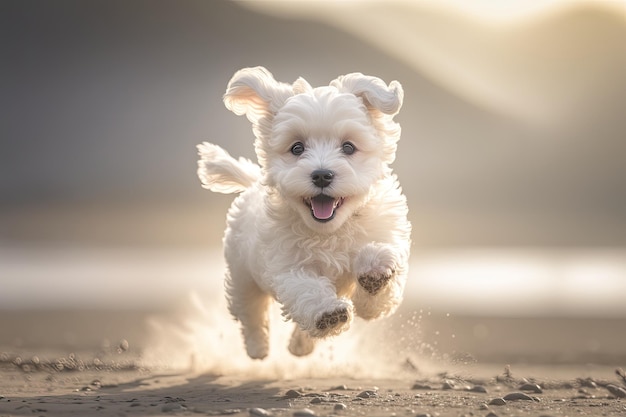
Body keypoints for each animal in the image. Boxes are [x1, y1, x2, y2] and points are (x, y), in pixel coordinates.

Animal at [196, 66, 410, 360]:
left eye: (348, 147)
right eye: (297, 148)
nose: (321, 175)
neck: (331, 231)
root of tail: (251, 183)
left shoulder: (388, 236)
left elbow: (374, 299)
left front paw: (375, 270)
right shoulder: (286, 265)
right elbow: (305, 287)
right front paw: (327, 313)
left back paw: (300, 346)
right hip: (242, 274)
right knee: (250, 312)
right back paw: (258, 348)